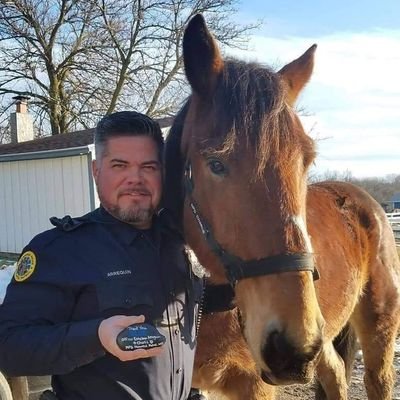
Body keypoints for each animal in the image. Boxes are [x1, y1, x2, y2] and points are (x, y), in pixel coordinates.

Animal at [163, 14, 400, 398]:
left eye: (306, 161)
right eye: (215, 164)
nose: (290, 346)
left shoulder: (255, 386)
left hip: (377, 325)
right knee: (334, 372)